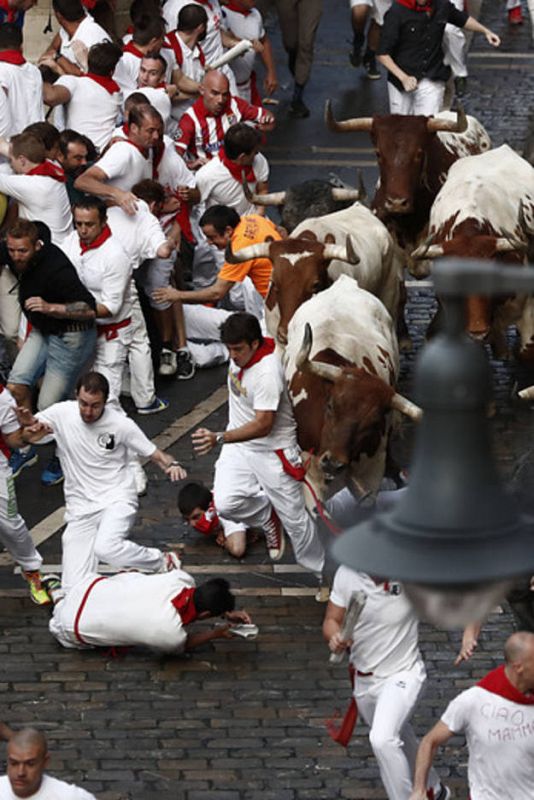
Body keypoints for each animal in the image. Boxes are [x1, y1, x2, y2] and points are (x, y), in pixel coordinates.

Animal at [284, 276, 422, 500]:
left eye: (372, 423)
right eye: (330, 406)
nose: (333, 463)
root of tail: (344, 282)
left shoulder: (371, 472)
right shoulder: (309, 473)